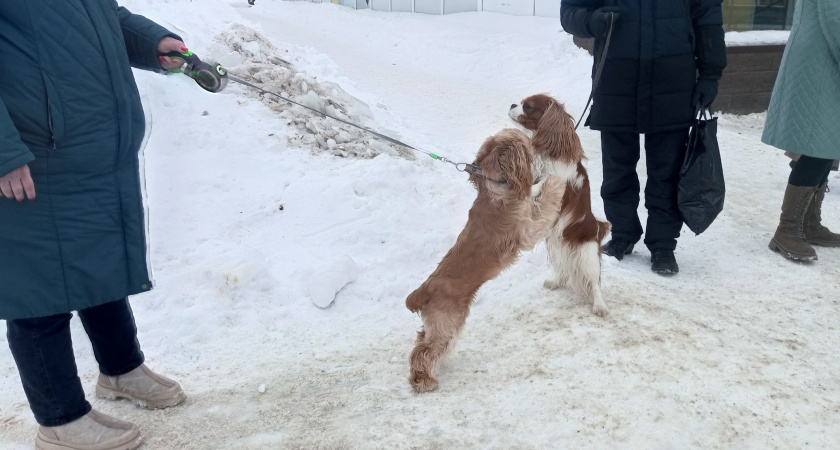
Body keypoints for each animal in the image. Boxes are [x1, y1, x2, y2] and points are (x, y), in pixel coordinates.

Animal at [406, 128, 564, 392]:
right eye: (528, 144)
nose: (538, 146)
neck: (496, 186)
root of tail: (422, 291)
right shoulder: (527, 230)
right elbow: (547, 200)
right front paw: (557, 181)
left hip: (439, 325)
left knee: (420, 340)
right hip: (446, 323)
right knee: (423, 351)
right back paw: (424, 381)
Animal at [506, 93, 612, 314]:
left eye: (528, 106)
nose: (512, 104)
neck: (545, 153)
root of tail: (598, 227)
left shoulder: (560, 186)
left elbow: (544, 184)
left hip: (587, 254)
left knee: (595, 282)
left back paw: (599, 305)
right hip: (557, 246)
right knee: (564, 270)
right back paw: (556, 282)